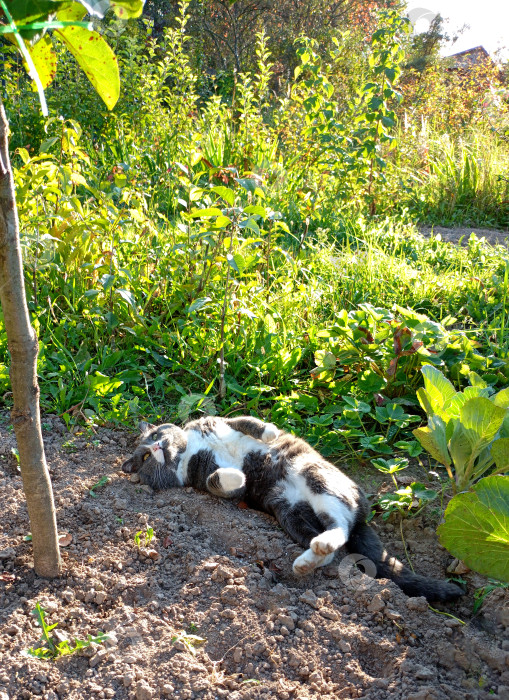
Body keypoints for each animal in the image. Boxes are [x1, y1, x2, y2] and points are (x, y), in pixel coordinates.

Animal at [121, 416, 462, 600]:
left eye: (156, 435)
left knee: (341, 526)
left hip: (315, 475)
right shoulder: (211, 481)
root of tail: (363, 518)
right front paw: (238, 474)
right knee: (336, 540)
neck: (190, 450)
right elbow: (221, 482)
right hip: (289, 511)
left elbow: (248, 423)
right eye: (145, 457)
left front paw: (271, 433)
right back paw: (310, 558)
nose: (157, 446)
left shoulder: (216, 422)